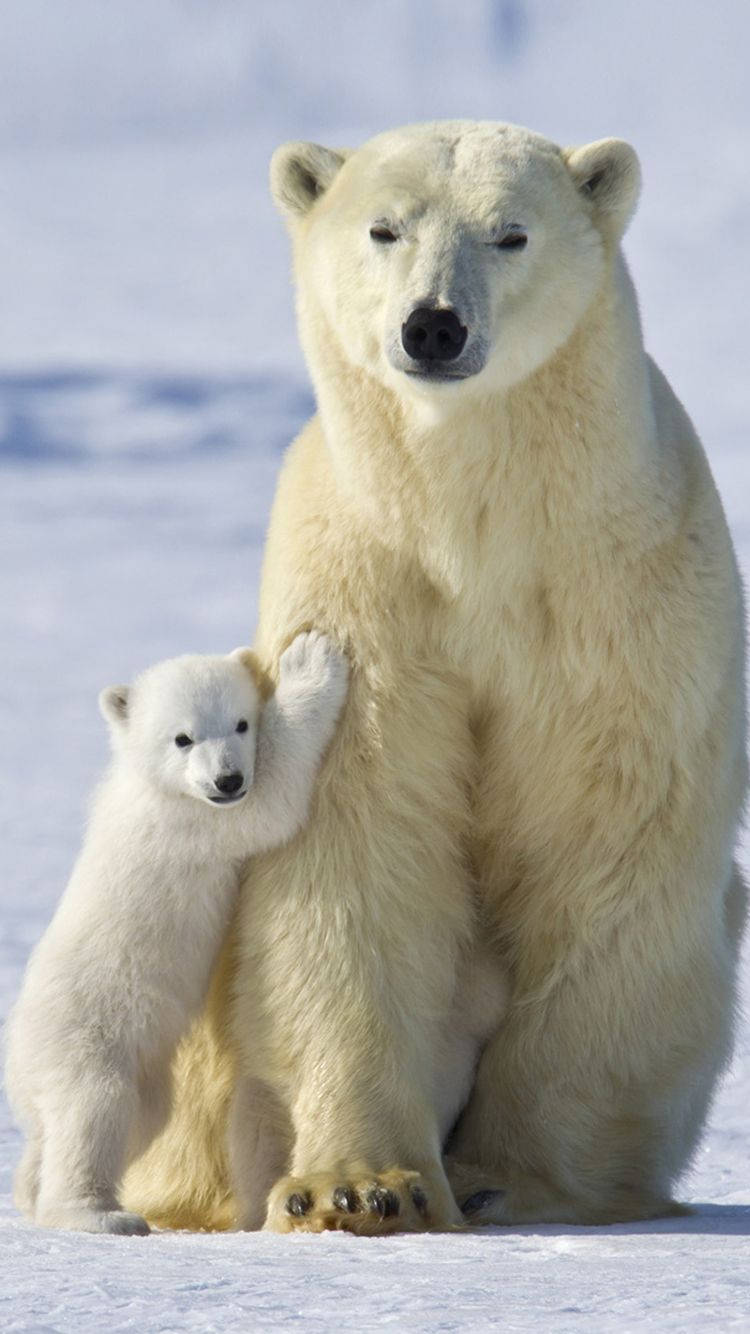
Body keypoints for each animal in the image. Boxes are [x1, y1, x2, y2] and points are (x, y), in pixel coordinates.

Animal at [5, 629, 346, 1232]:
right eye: (183, 738)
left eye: (240, 723)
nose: (227, 778)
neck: (152, 785)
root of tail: (18, 1064)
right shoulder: (192, 822)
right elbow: (270, 801)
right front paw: (309, 662)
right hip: (85, 1034)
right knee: (93, 1109)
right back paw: (100, 1214)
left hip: (142, 1073)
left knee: (130, 1121)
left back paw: (31, 1188)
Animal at [121, 120, 741, 1232]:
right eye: (384, 227)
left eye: (510, 232)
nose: (434, 326)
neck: (475, 524)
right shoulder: (366, 592)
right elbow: (357, 847)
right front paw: (364, 1185)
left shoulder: (621, 599)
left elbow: (606, 845)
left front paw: (517, 1178)